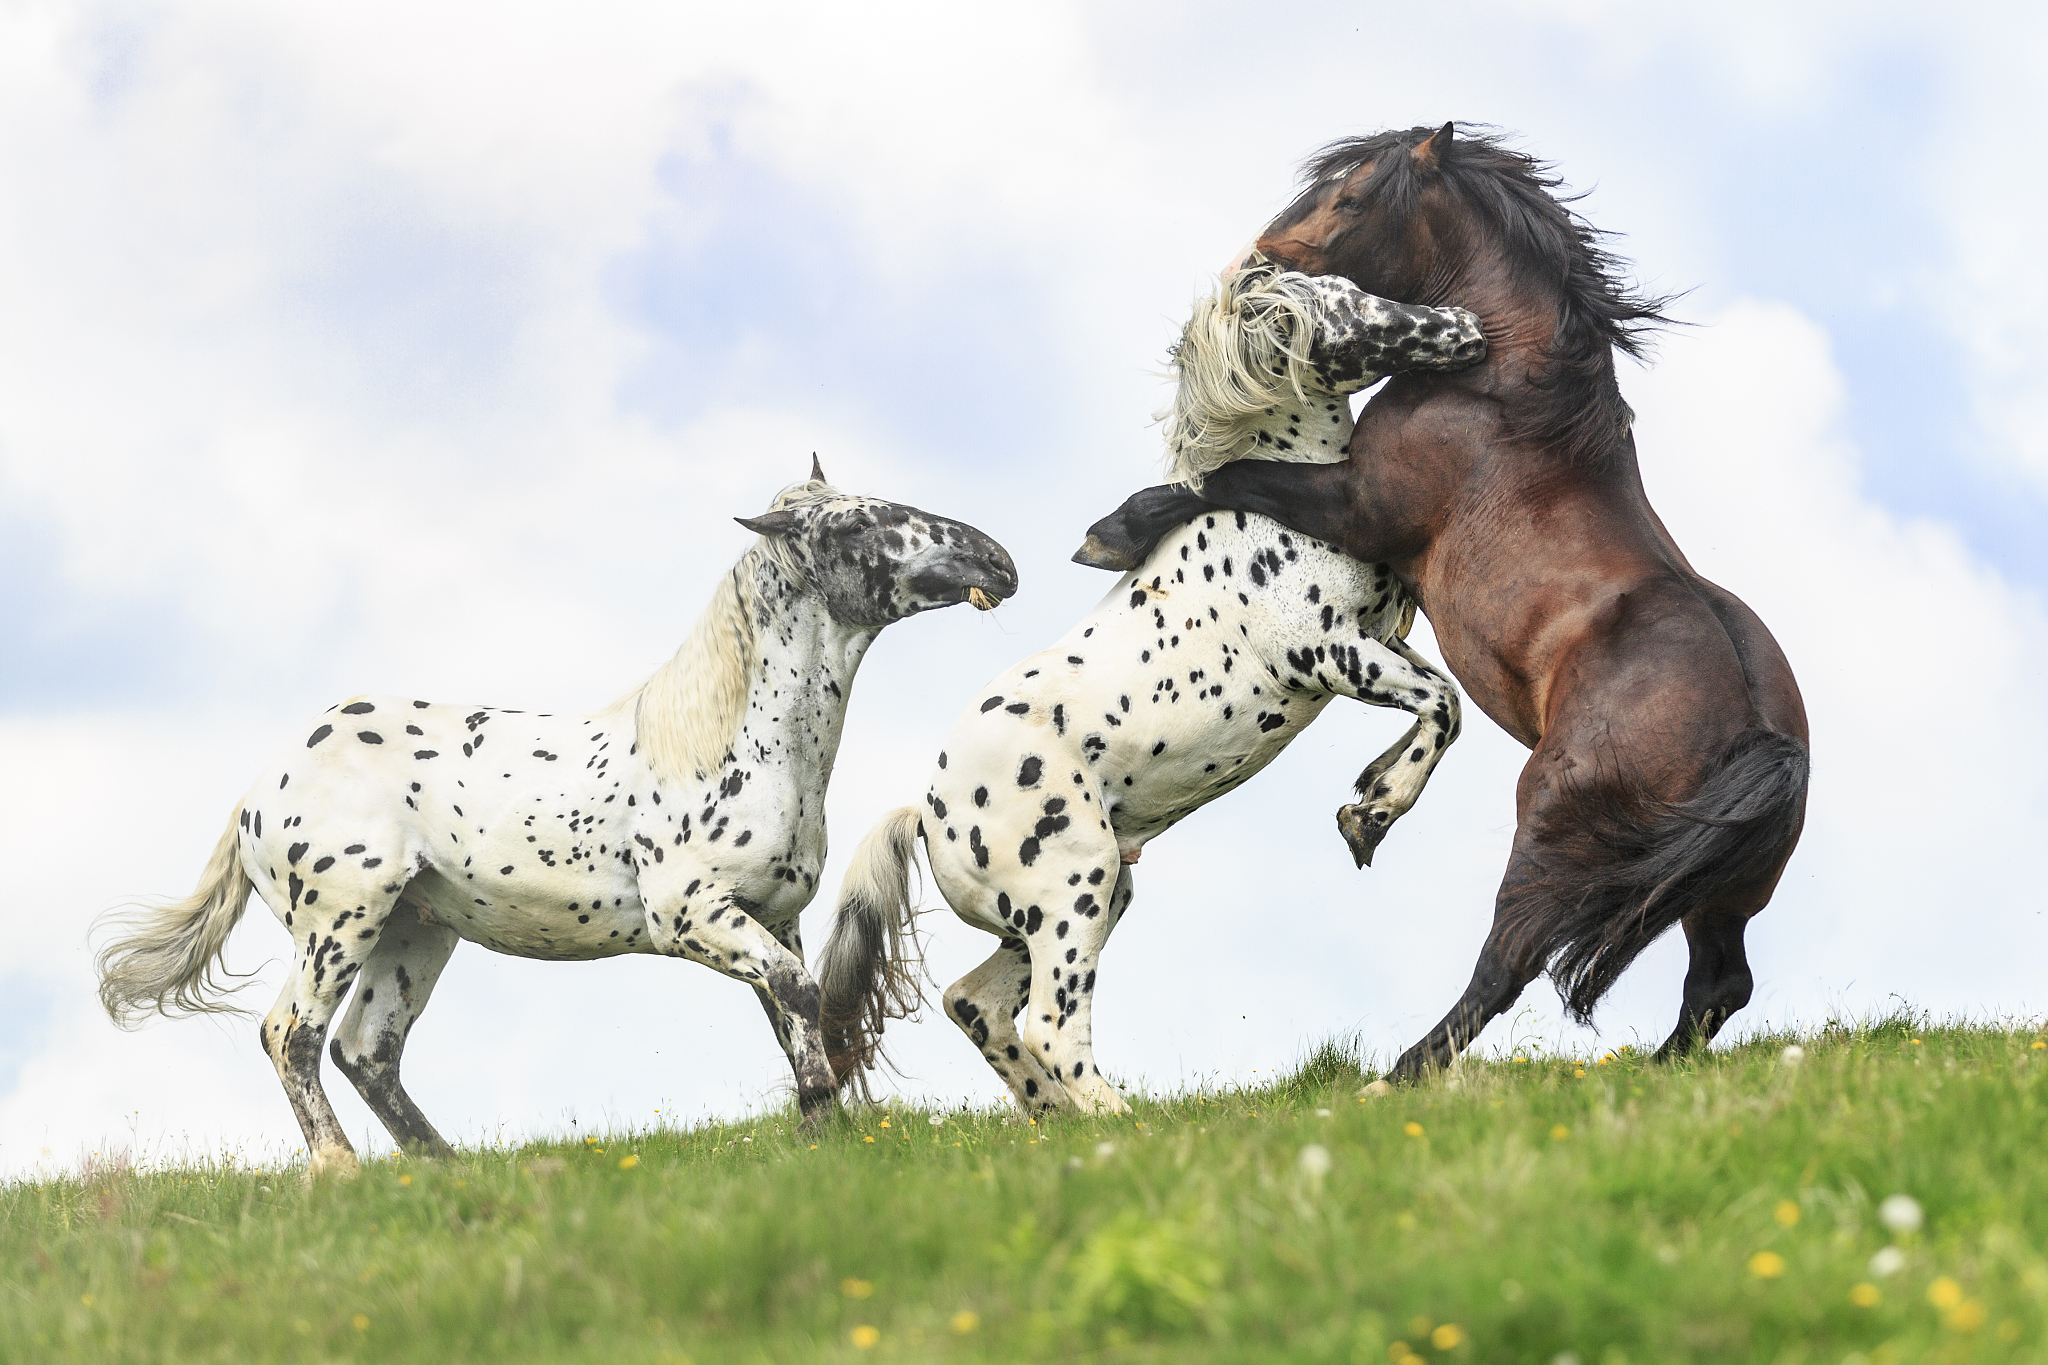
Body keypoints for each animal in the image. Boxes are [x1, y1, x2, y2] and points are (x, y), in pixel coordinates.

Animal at [94, 461, 1018, 1173]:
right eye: (857, 525)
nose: (998, 559)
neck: (728, 744)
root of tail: (260, 791)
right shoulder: (692, 917)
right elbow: (799, 995)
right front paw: (821, 1117)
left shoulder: (771, 915)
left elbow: (795, 1009)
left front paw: (822, 1129)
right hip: (338, 924)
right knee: (291, 1036)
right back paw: (339, 1170)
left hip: (413, 932)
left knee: (367, 1051)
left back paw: (445, 1169)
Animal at [813, 267, 1486, 1115]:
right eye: (1348, 314)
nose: (1467, 326)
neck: (1263, 521)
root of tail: (929, 815)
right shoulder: (1329, 653)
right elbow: (1443, 704)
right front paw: (1372, 816)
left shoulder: (1378, 639)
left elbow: (1443, 698)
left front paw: (1366, 792)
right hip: (1074, 894)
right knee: (1050, 1028)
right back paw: (1120, 1120)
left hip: (1085, 900)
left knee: (975, 1002)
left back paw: (1053, 1117)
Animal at [1074, 124, 1811, 1081]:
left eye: (1350, 198)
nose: (1256, 265)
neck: (1501, 390)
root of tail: (1765, 738)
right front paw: (1372, 785)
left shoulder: (1358, 507)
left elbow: (1225, 477)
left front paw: (1112, 532)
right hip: (1716, 890)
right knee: (1719, 983)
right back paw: (1657, 1069)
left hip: (1552, 827)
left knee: (1508, 962)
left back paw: (1400, 1070)